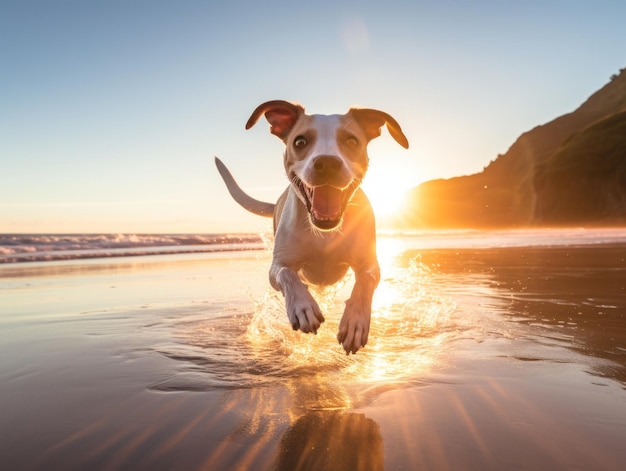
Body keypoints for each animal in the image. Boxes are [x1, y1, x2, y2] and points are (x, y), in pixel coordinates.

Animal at [216, 100, 410, 354]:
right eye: (300, 142)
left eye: (352, 142)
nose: (327, 163)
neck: (324, 232)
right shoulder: (277, 266)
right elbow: (286, 273)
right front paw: (302, 306)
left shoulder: (368, 262)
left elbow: (366, 280)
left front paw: (355, 321)